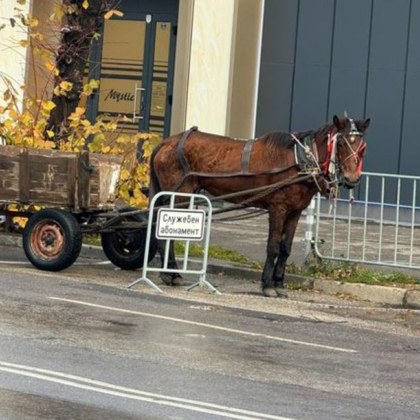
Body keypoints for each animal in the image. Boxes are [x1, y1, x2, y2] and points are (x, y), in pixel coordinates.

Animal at [149, 115, 370, 296]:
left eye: (362, 146)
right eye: (340, 143)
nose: (352, 178)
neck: (301, 161)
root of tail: (166, 142)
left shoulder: (295, 211)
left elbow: (286, 248)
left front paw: (279, 283)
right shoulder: (278, 208)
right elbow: (273, 247)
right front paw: (267, 285)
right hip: (179, 195)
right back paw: (171, 273)